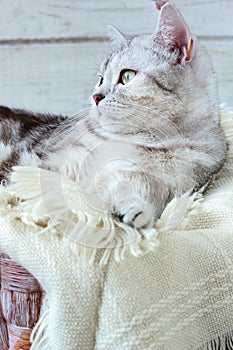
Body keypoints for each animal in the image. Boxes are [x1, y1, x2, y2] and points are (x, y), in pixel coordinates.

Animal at [0, 2, 226, 230]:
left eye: (127, 76)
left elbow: (154, 190)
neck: (143, 140)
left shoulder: (185, 181)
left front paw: (138, 206)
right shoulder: (49, 164)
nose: (95, 96)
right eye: (100, 79)